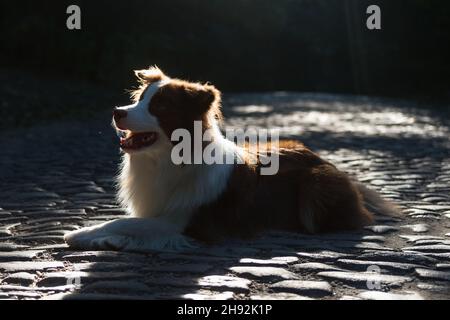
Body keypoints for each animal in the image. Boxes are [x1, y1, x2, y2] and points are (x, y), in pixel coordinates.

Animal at [65, 66, 400, 252]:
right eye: (139, 100)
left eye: (159, 106)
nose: (116, 112)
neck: (166, 161)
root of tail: (325, 160)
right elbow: (128, 222)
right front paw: (103, 238)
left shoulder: (185, 222)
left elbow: (126, 222)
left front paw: (79, 233)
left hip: (315, 191)